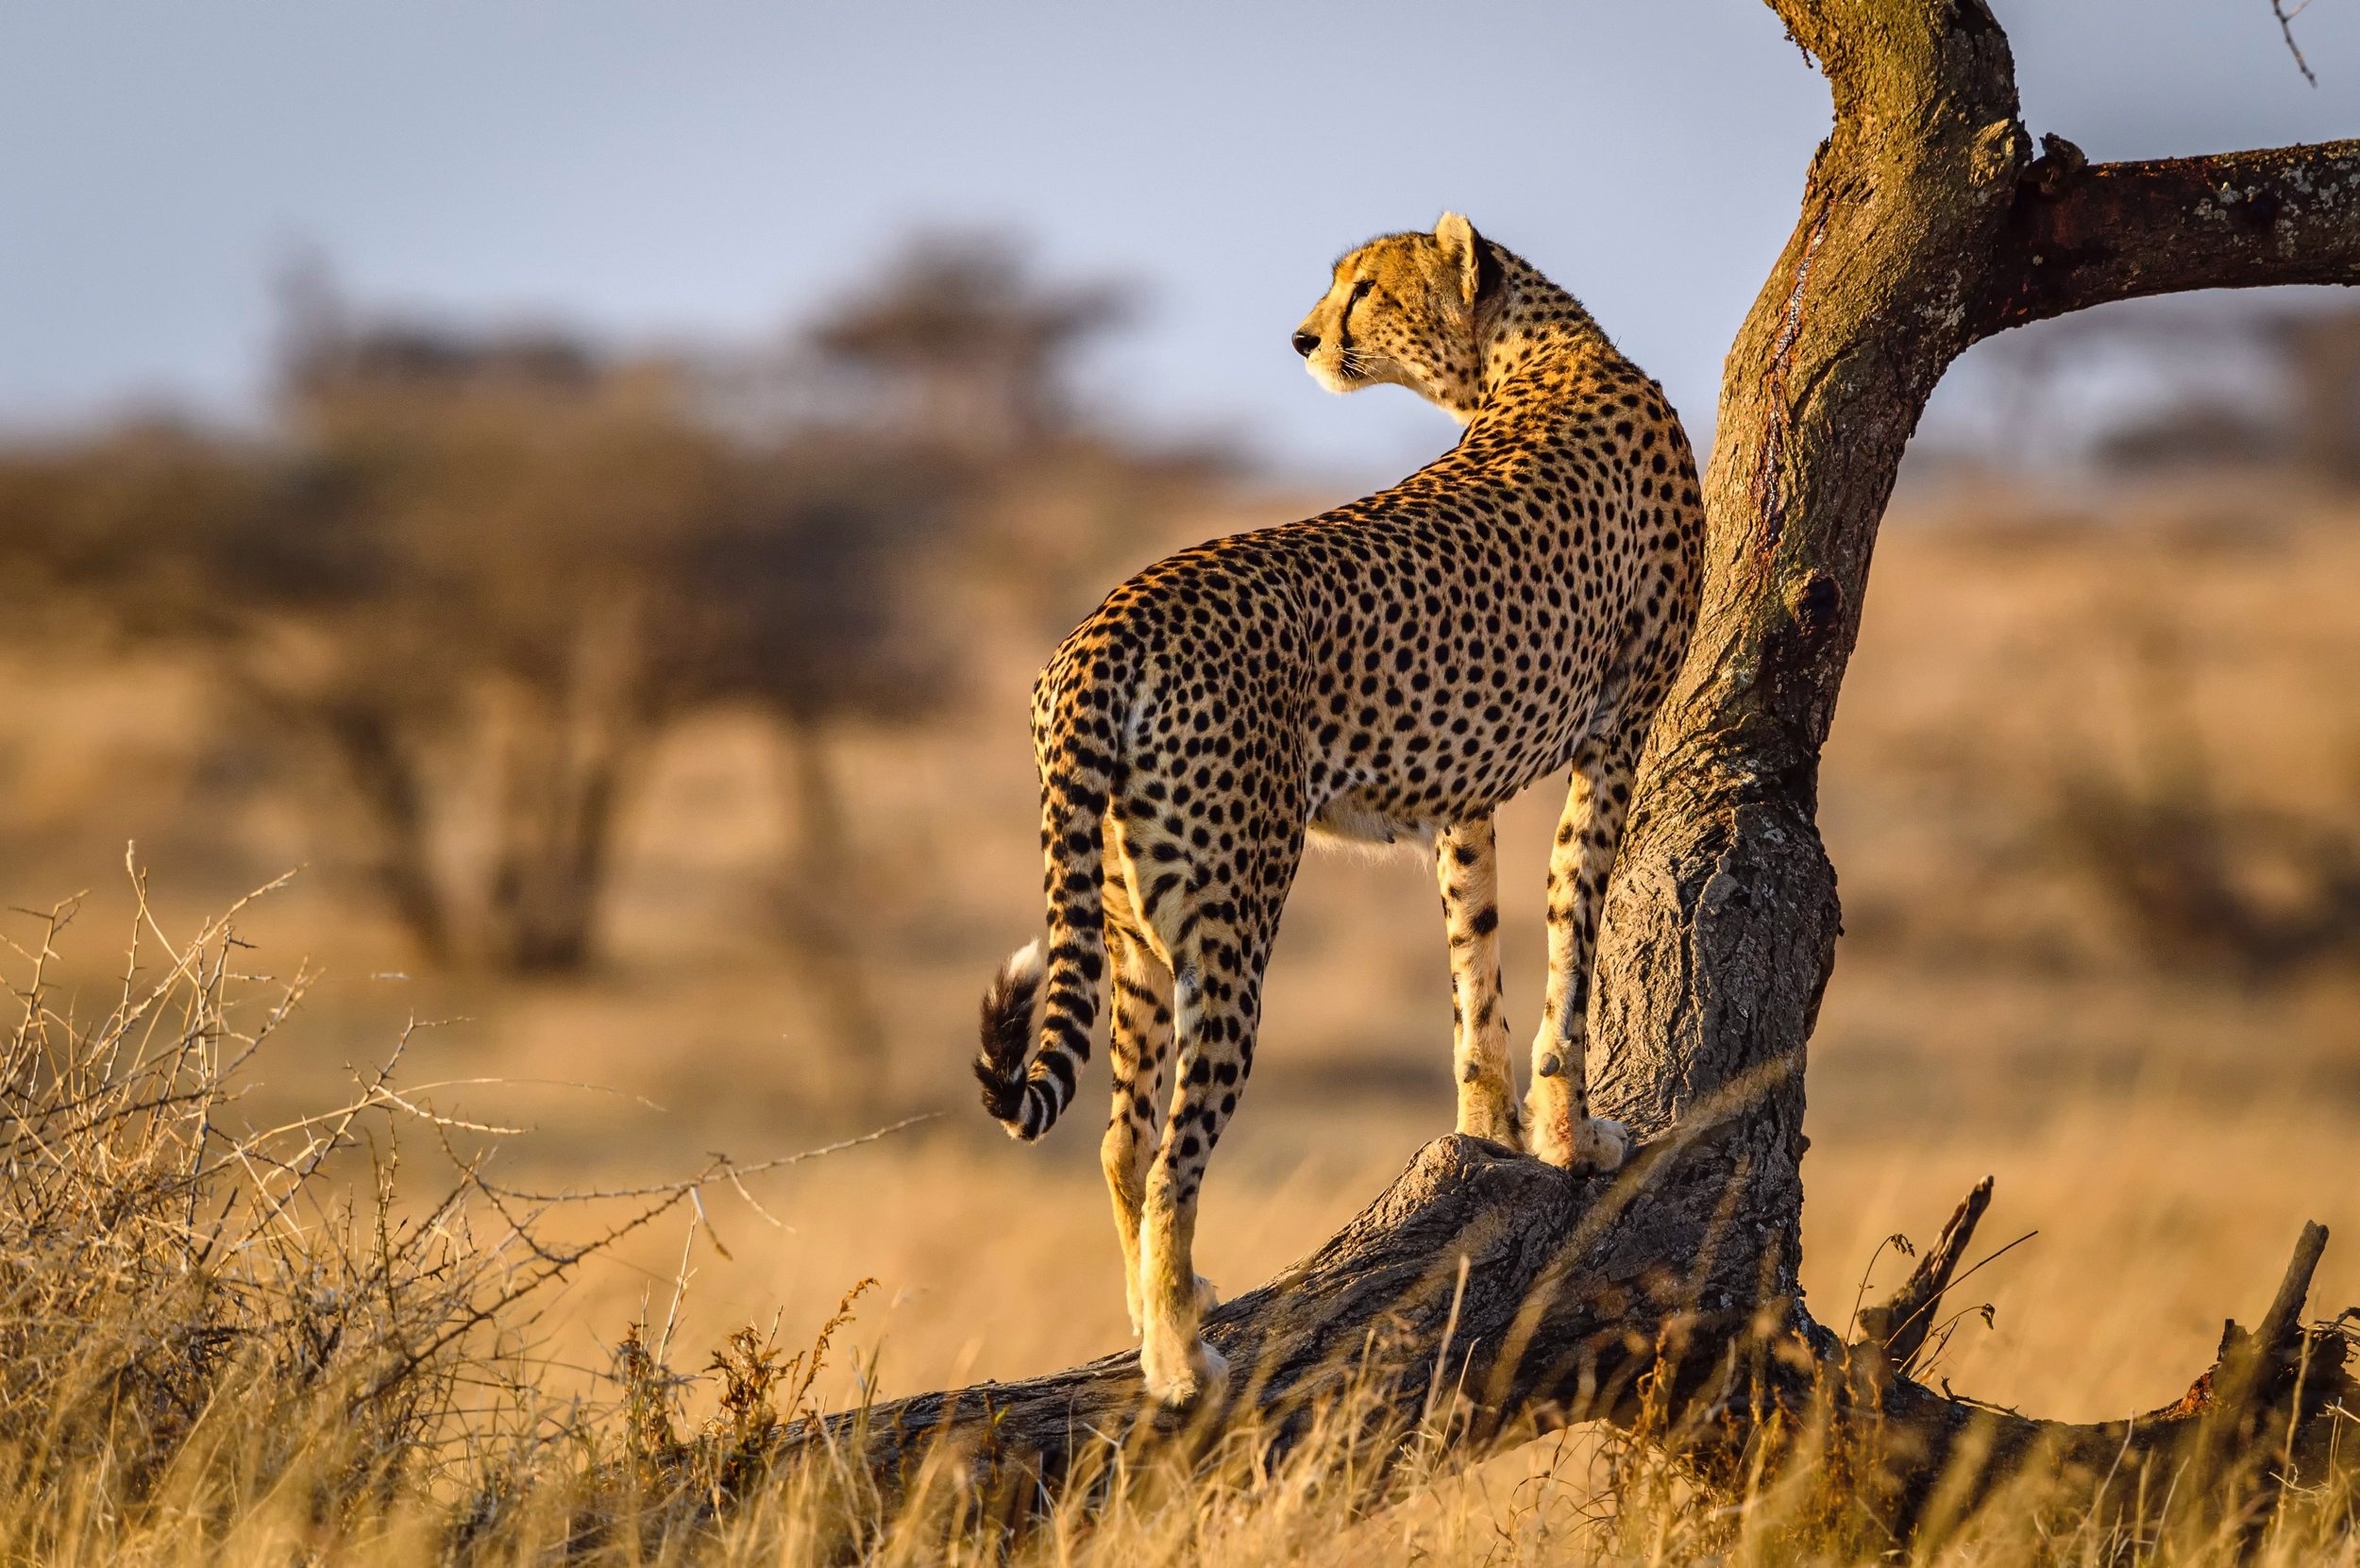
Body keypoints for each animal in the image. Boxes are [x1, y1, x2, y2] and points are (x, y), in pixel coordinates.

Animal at [968, 214, 1709, 1397]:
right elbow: (1571, 938)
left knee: (1122, 1138)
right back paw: (1179, 1354)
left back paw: (1156, 1311)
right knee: (1175, 1149)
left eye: (1364, 285)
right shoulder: (1615, 730)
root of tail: (1105, 624)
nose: (1304, 337)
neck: (1538, 353)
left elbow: (1475, 964)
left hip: (1125, 924)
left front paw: (1487, 1130)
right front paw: (1569, 1133)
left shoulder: (1465, 791)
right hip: (1230, 921)